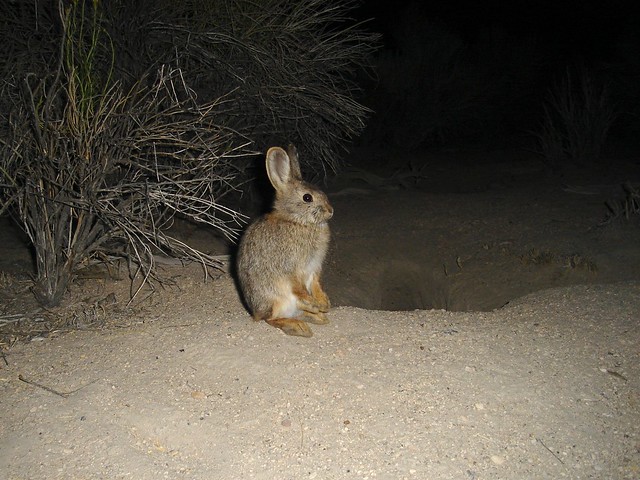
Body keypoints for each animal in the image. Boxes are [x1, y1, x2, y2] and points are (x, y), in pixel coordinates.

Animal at [236, 144, 336, 336]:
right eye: (307, 197)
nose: (330, 211)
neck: (296, 220)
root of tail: (256, 313)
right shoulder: (291, 268)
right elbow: (298, 287)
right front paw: (314, 303)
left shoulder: (314, 268)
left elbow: (316, 283)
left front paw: (323, 303)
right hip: (276, 301)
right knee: (271, 319)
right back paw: (298, 326)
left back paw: (317, 317)